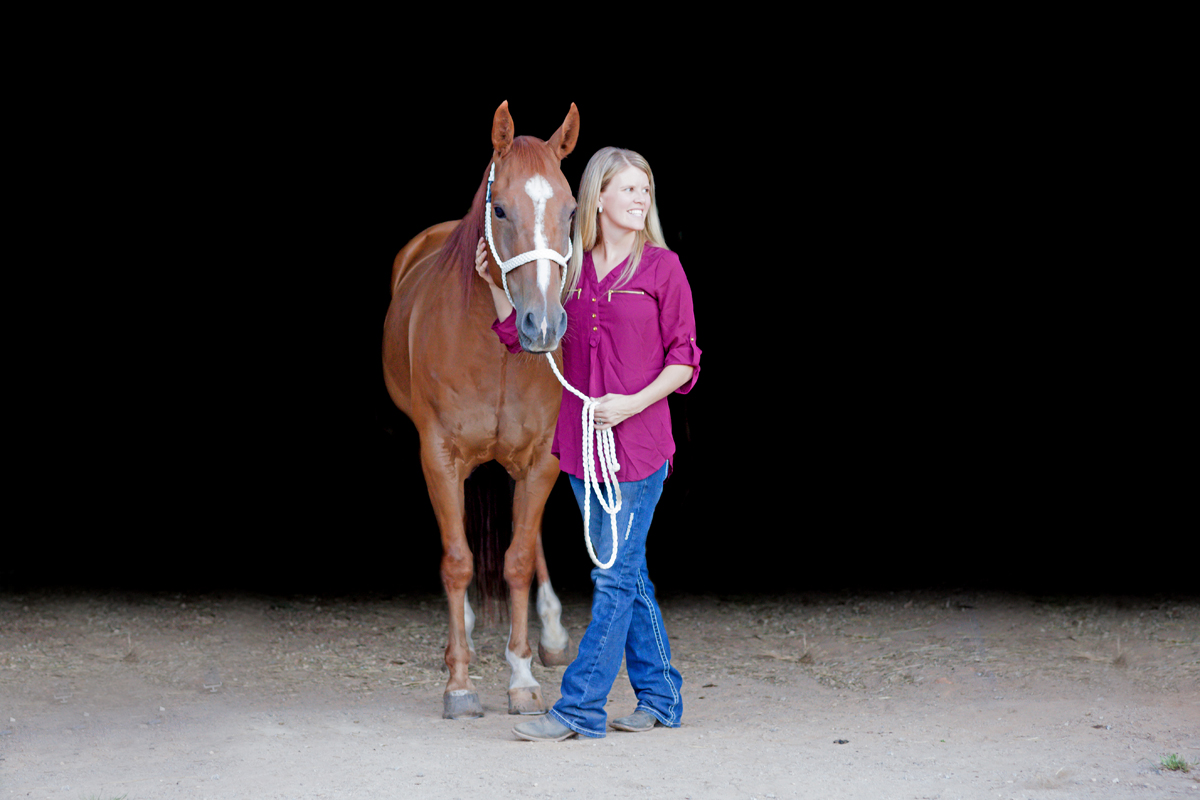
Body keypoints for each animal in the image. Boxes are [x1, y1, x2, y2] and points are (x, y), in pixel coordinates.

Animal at [379, 100, 576, 719]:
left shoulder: (542, 457)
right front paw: (460, 683)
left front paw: (522, 675)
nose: (543, 326)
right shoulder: (439, 453)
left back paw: (552, 635)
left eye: (571, 210)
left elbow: (517, 559)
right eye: (501, 207)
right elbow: (458, 560)